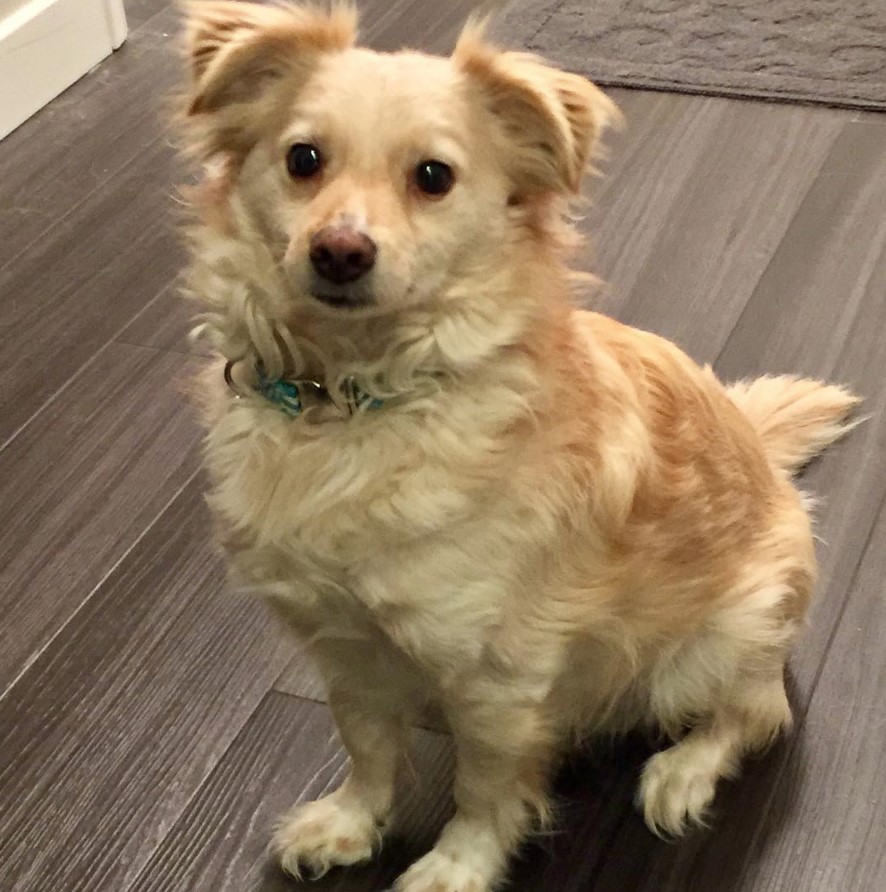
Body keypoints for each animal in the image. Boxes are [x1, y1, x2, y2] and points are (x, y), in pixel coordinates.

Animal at [173, 3, 860, 888]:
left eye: (433, 177)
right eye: (303, 160)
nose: (340, 250)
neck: (354, 399)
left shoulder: (497, 678)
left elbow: (485, 786)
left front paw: (455, 867)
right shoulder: (344, 646)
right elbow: (366, 743)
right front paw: (351, 823)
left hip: (722, 641)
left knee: (757, 713)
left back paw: (682, 772)